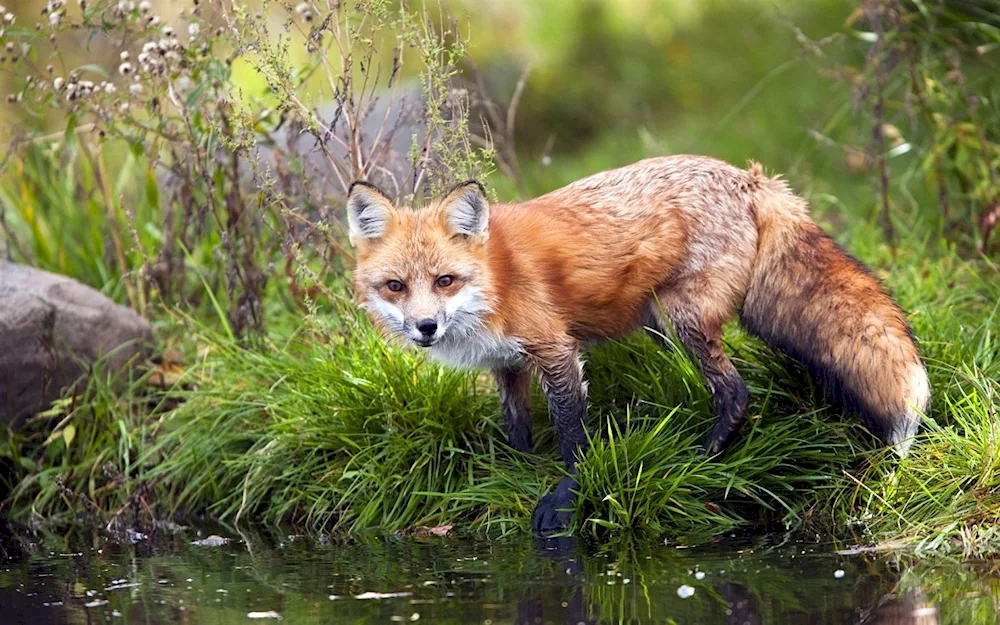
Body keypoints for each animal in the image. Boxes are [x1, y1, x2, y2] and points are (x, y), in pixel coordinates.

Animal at [346, 155, 928, 532]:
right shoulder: (506, 365)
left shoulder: (555, 350)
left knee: (736, 392)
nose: (425, 328)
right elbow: (517, 431)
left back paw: (703, 457)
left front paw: (565, 500)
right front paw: (515, 478)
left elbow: (573, 438)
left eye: (444, 280)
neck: (496, 279)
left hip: (678, 319)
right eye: (395, 286)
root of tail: (751, 177)